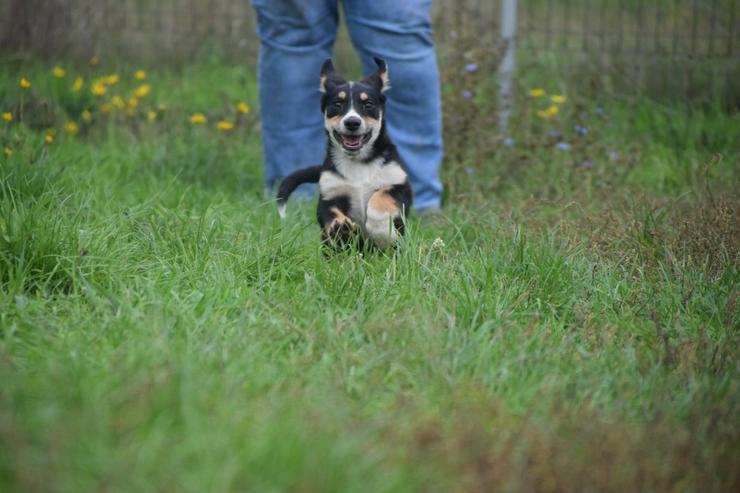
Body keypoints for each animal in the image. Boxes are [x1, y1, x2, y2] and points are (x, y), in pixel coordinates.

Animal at [276, 57, 414, 250]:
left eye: (368, 104)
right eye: (337, 104)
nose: (352, 122)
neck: (358, 162)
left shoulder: (398, 186)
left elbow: (378, 202)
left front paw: (383, 235)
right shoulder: (329, 195)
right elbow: (330, 215)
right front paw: (342, 230)